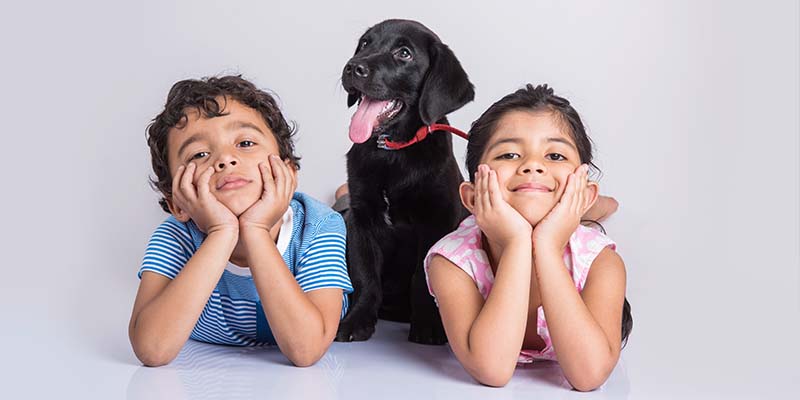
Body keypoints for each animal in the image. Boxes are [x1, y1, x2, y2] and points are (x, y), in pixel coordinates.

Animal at [332, 18, 472, 344]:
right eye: (365, 44)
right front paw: (357, 321)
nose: (352, 67)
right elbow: (366, 276)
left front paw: (429, 327)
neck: (392, 152)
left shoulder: (435, 221)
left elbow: (422, 277)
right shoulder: (360, 219)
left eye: (404, 53)